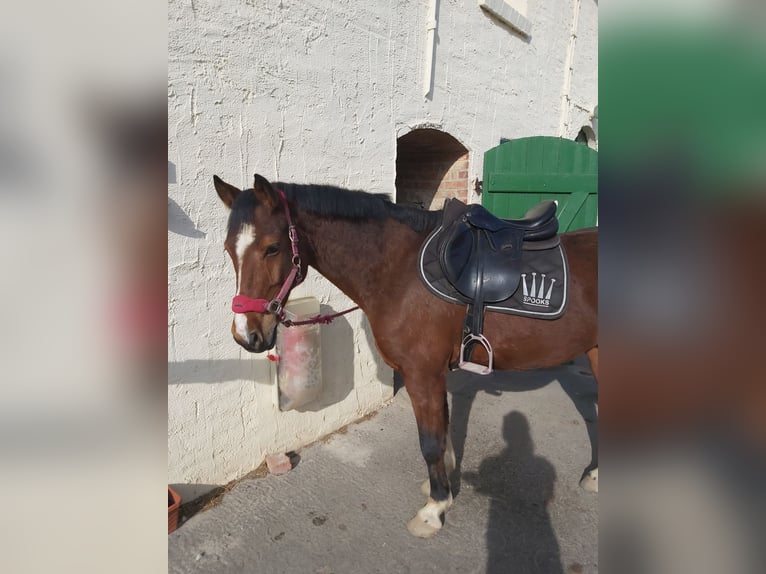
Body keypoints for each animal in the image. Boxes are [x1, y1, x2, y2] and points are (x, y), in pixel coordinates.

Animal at [214, 174, 600, 540]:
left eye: (272, 248)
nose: (246, 335)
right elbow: (442, 430)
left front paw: (434, 509)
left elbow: (429, 441)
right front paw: (440, 486)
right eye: (229, 249)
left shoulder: (422, 374)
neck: (398, 271)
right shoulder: (434, 374)